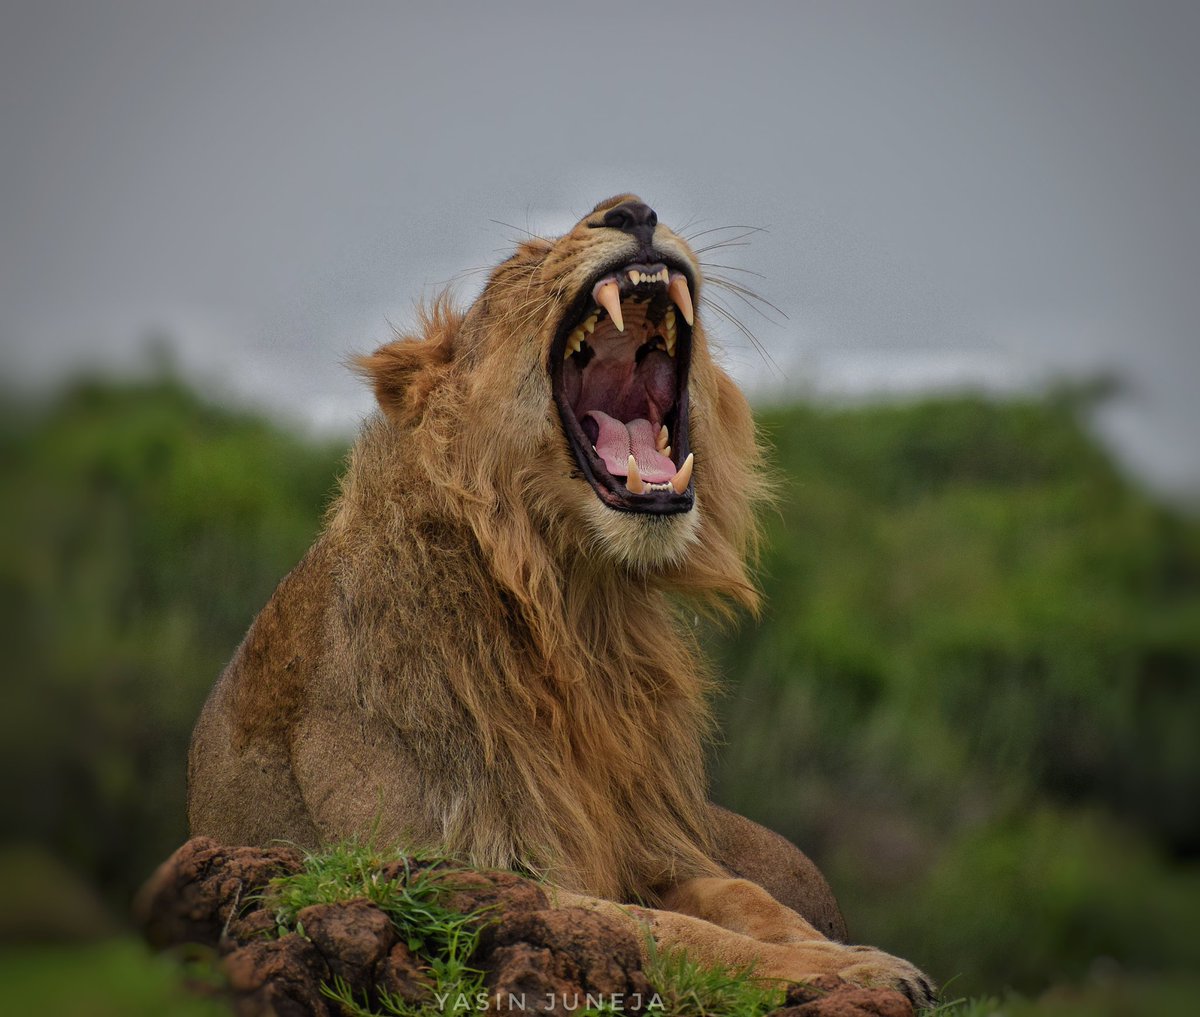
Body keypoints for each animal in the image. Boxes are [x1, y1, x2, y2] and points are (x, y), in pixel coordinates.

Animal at [187, 195, 935, 1005]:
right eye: (522, 264)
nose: (634, 209)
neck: (573, 604)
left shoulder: (649, 843)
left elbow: (740, 899)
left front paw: (844, 953)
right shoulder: (461, 870)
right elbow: (673, 933)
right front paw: (848, 968)